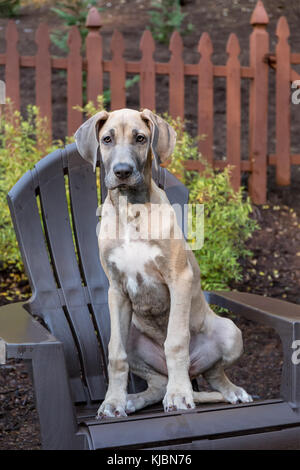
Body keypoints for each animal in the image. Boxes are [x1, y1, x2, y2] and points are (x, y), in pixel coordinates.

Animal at [74, 108, 251, 416]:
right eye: (107, 139)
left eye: (140, 138)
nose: (122, 172)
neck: (131, 210)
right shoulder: (116, 289)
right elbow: (115, 354)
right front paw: (113, 401)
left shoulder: (178, 278)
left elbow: (176, 342)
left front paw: (179, 395)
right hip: (134, 339)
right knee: (157, 383)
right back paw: (134, 399)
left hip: (230, 332)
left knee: (214, 372)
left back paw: (229, 391)